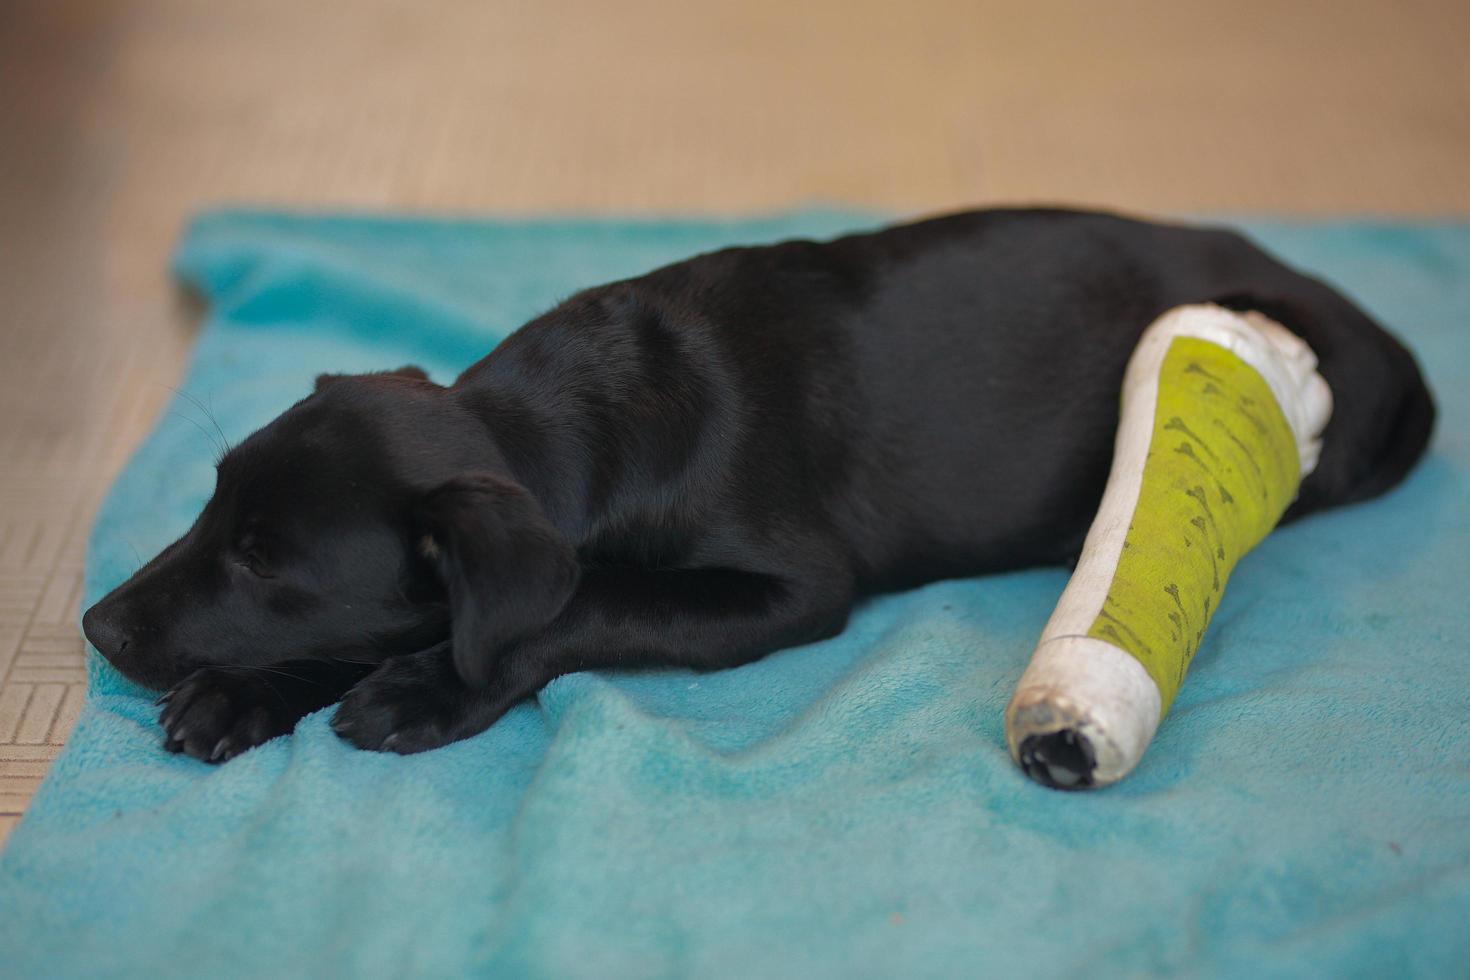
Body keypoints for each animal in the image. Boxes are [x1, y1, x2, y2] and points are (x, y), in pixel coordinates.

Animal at [80, 207, 1434, 764]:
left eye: (266, 560)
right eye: (213, 504)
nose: (92, 624)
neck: (562, 427)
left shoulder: (792, 588)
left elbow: (576, 605)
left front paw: (424, 689)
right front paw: (245, 694)